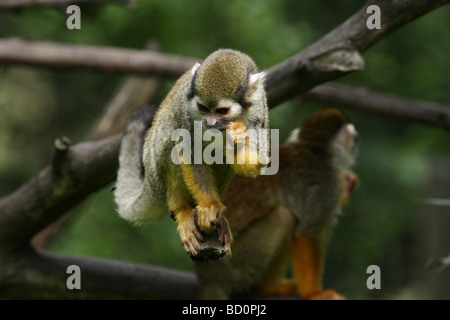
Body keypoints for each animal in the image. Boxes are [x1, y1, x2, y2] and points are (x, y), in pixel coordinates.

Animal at [114, 50, 268, 260]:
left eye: (222, 111)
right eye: (203, 109)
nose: (210, 122)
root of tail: (150, 183)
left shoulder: (260, 108)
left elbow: (257, 164)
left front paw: (237, 137)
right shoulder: (186, 109)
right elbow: (189, 150)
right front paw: (209, 205)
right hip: (155, 169)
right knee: (169, 135)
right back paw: (182, 211)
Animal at [196, 108, 358, 300]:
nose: (357, 140)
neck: (314, 149)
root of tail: (207, 279)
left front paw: (349, 184)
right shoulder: (327, 185)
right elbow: (308, 233)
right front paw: (314, 293)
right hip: (232, 265)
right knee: (284, 217)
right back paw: (268, 287)